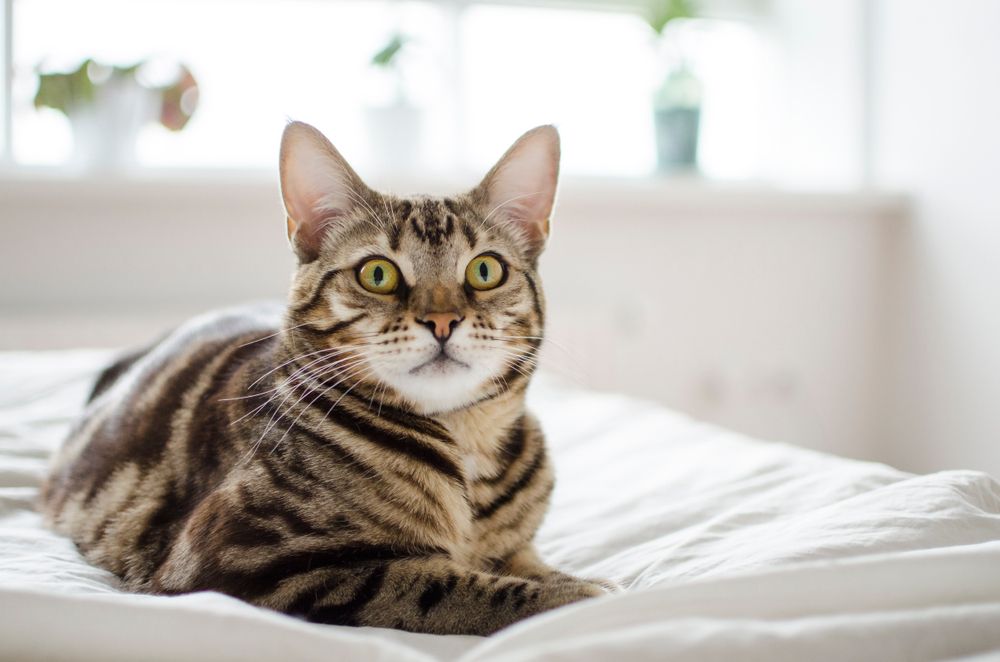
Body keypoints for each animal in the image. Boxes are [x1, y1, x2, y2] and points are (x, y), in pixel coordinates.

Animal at [43, 120, 608, 640]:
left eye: (485, 271)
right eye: (377, 274)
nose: (443, 320)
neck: (466, 447)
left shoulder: (515, 546)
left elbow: (524, 564)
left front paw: (568, 579)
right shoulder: (240, 563)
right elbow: (442, 586)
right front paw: (578, 595)